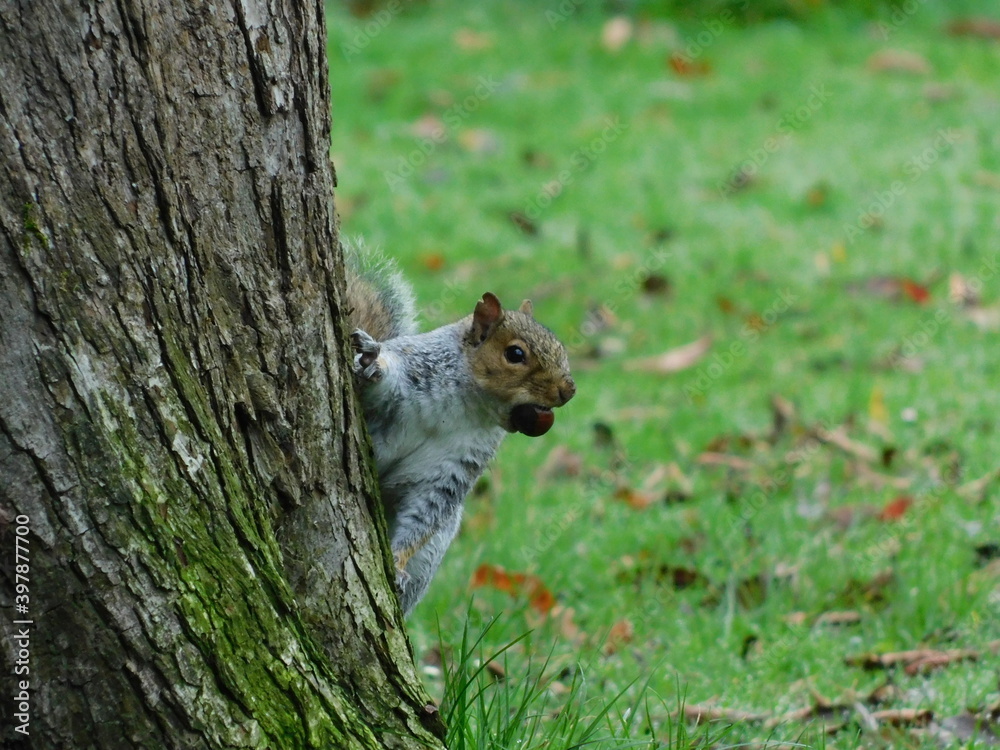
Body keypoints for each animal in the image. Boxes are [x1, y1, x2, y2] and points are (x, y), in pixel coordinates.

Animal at [343, 241, 576, 615]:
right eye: (515, 354)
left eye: (560, 347)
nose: (568, 391)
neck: (467, 406)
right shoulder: (415, 368)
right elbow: (384, 373)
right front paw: (371, 359)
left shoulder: (452, 468)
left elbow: (425, 515)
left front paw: (396, 564)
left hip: (432, 553)